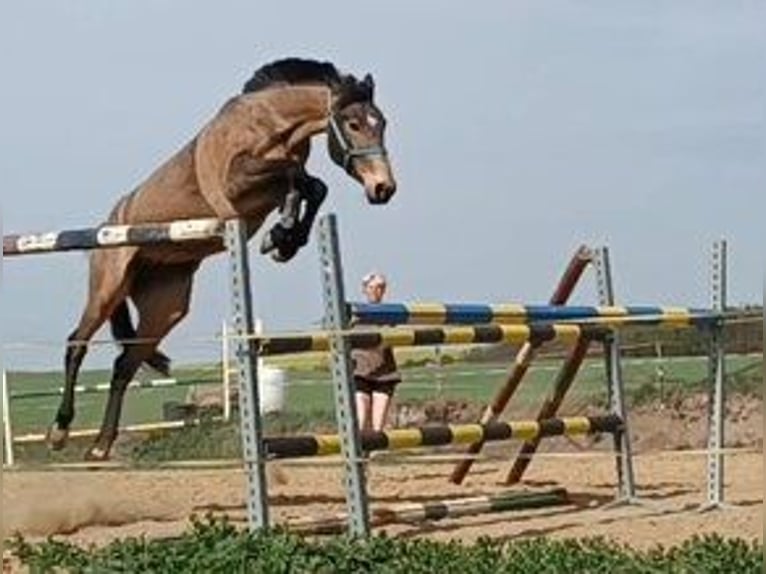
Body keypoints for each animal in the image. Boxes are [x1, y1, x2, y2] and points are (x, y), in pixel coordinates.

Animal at [48, 57, 400, 464]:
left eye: (382, 123)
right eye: (353, 124)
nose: (383, 188)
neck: (271, 123)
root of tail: (109, 223)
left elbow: (310, 186)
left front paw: (283, 239)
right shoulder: (237, 181)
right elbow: (295, 176)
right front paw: (281, 236)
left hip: (166, 305)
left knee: (125, 365)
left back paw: (101, 445)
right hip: (108, 287)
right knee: (77, 344)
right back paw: (59, 431)